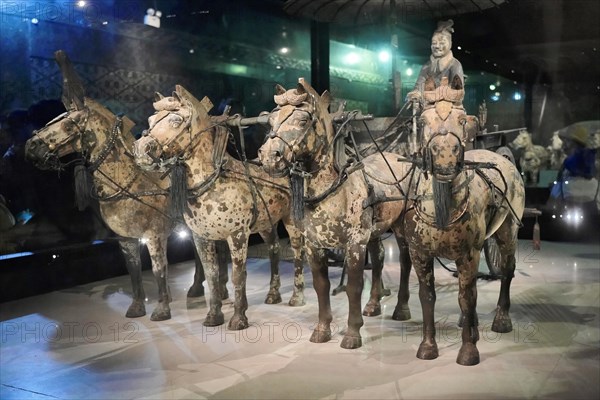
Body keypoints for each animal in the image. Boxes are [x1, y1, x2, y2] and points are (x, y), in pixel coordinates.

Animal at [23, 50, 225, 320]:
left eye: (66, 124)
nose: (30, 146)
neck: (130, 183)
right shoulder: (126, 239)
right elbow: (133, 271)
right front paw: (137, 307)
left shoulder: (154, 235)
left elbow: (159, 269)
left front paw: (162, 309)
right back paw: (195, 289)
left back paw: (221, 290)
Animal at [134, 85, 308, 332]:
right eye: (151, 119)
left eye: (176, 120)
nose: (141, 149)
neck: (214, 182)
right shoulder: (202, 238)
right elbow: (212, 275)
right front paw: (214, 316)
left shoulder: (237, 235)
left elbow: (238, 275)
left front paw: (238, 318)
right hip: (265, 223)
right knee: (274, 250)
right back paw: (273, 294)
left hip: (291, 220)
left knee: (297, 250)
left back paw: (297, 296)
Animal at [258, 78, 418, 346]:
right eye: (271, 120)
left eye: (303, 120)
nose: (270, 157)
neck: (334, 190)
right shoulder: (315, 246)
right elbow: (321, 286)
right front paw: (322, 330)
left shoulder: (354, 245)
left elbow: (353, 287)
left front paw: (352, 333)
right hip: (374, 233)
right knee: (378, 259)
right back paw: (373, 305)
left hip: (401, 227)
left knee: (405, 262)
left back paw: (402, 309)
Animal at [404, 78, 524, 366]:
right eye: (422, 121)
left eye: (462, 119)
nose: (445, 157)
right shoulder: (419, 252)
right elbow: (428, 296)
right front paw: (428, 347)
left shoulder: (469, 253)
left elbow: (467, 296)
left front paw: (468, 351)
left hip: (508, 231)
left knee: (507, 271)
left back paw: (501, 319)